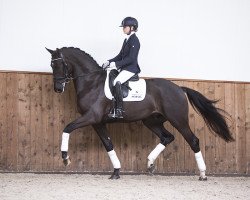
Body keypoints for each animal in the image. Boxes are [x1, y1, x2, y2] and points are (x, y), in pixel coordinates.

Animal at [45, 46, 234, 180]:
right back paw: (150, 163)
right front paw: (116, 171)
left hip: (178, 120)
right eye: (52, 65)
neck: (91, 82)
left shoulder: (92, 117)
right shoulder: (98, 122)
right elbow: (108, 144)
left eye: (59, 64)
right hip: (151, 121)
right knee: (167, 137)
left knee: (193, 140)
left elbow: (67, 128)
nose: (58, 88)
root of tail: (180, 88)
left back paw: (202, 174)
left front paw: (65, 158)